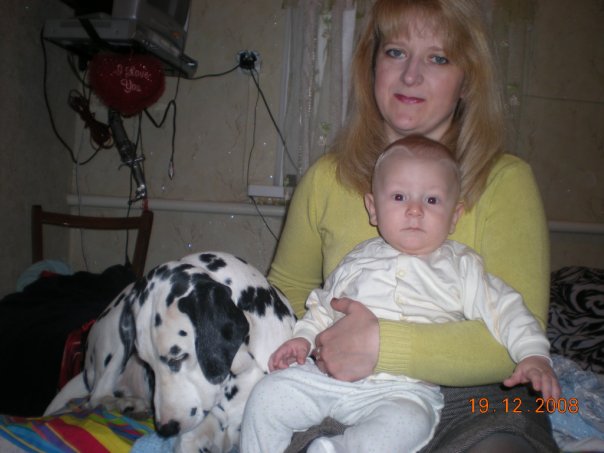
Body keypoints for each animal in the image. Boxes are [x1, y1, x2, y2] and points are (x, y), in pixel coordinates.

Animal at [45, 251, 295, 452]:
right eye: (147, 364)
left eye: (179, 356)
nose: (166, 428)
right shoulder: (191, 439)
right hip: (117, 339)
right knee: (96, 398)